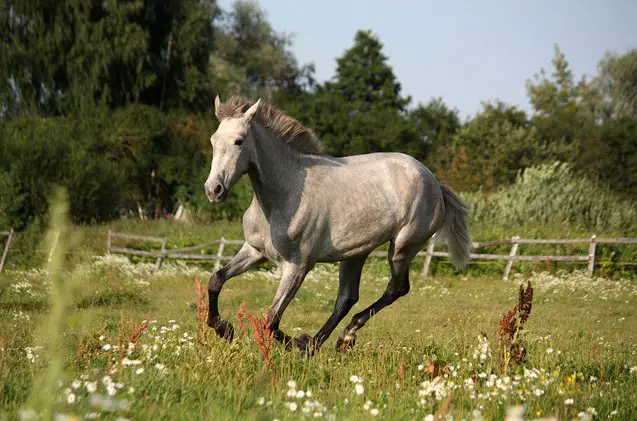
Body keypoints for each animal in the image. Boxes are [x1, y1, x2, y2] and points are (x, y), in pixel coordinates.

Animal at [204, 94, 472, 352]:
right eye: (213, 140)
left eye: (239, 141)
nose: (213, 189)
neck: (285, 194)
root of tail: (435, 183)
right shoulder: (255, 251)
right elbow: (216, 280)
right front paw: (224, 329)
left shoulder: (299, 265)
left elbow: (271, 320)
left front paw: (296, 342)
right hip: (356, 254)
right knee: (347, 298)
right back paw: (328, 341)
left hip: (402, 248)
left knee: (396, 289)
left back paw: (334, 338)